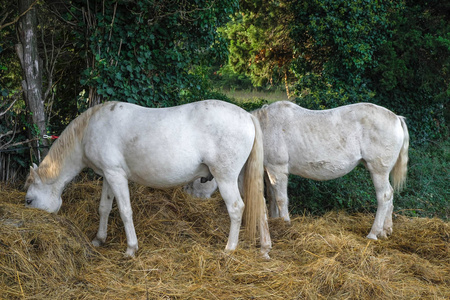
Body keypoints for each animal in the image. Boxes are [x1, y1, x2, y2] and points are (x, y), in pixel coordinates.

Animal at [23, 100, 270, 258]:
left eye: (29, 200)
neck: (90, 129)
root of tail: (248, 116)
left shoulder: (116, 175)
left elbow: (125, 211)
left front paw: (131, 249)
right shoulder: (108, 175)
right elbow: (104, 207)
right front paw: (99, 239)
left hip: (226, 178)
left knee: (237, 208)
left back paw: (229, 249)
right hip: (242, 178)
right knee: (261, 207)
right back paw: (265, 249)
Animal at [186, 101, 408, 241]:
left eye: (200, 178)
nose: (190, 197)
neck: (261, 127)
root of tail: (396, 118)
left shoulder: (278, 169)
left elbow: (281, 198)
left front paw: (285, 223)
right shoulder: (270, 170)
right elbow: (273, 197)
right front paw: (275, 219)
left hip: (377, 170)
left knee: (384, 196)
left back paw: (373, 233)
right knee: (390, 197)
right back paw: (386, 230)